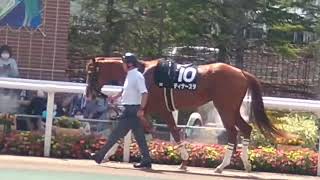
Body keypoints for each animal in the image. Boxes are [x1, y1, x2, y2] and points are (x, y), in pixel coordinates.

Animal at [86, 56, 288, 173]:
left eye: (91, 73)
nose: (88, 94)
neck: (143, 72)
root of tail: (242, 72)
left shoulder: (161, 109)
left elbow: (174, 132)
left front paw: (183, 160)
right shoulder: (146, 110)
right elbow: (131, 131)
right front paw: (105, 155)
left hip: (224, 107)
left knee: (233, 132)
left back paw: (221, 166)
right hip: (231, 108)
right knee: (246, 129)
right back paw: (245, 164)